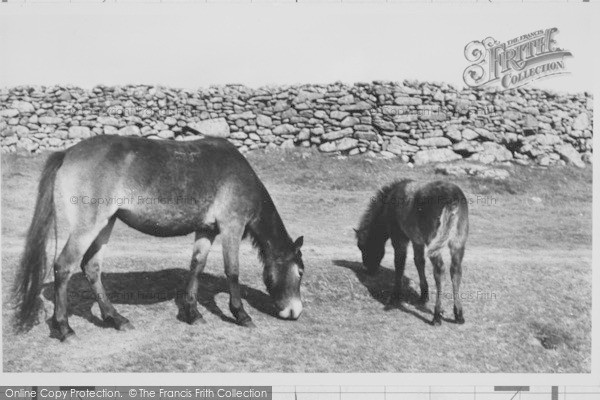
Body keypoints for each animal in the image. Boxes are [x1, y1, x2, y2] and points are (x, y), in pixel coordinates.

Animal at [14, 134, 304, 340]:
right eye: (300, 272)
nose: (295, 312)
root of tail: (68, 153)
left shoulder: (207, 229)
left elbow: (196, 266)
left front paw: (192, 313)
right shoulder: (231, 226)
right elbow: (232, 271)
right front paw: (242, 315)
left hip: (106, 223)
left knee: (91, 267)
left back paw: (116, 319)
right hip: (89, 226)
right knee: (64, 267)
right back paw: (65, 329)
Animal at [356, 180, 468, 326]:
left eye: (363, 247)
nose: (368, 270)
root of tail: (452, 198)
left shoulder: (399, 238)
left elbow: (399, 264)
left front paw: (395, 296)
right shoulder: (417, 240)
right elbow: (419, 261)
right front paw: (423, 296)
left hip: (434, 242)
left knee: (439, 271)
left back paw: (437, 315)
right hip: (458, 242)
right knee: (456, 271)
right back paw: (458, 314)